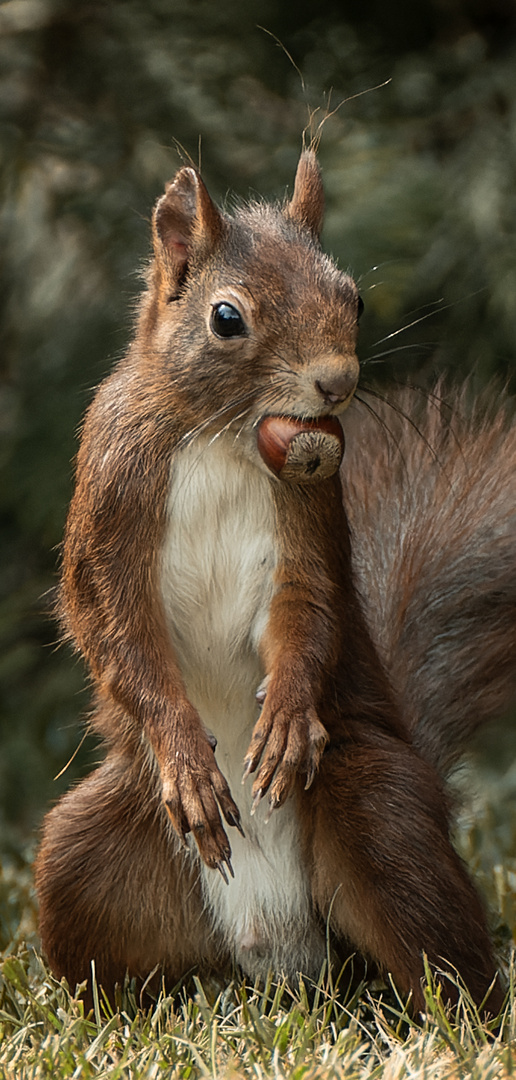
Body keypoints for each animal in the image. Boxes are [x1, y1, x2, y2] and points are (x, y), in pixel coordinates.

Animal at [34, 150, 513, 1010]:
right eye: (227, 318)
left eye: (353, 295)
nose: (336, 382)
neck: (222, 437)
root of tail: (281, 960)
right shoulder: (112, 490)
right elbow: (111, 624)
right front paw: (186, 753)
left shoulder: (309, 514)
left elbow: (307, 608)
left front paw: (288, 716)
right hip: (85, 856)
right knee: (107, 954)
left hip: (377, 807)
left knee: (439, 950)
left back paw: (463, 1016)